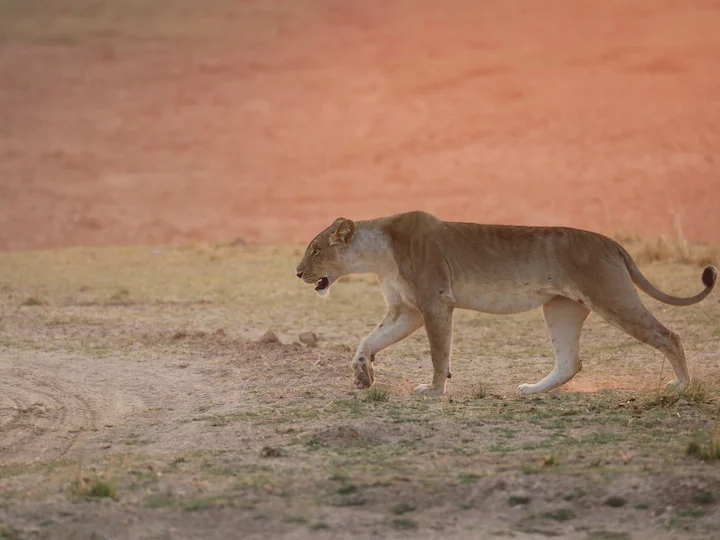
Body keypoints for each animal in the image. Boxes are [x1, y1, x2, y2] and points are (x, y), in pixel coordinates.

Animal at [295, 211, 717, 396]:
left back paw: (682, 385)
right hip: (560, 308)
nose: (298, 273)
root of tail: (611, 241)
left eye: (315, 250)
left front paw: (433, 391)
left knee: (670, 335)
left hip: (612, 297)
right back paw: (532, 390)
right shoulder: (407, 312)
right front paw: (362, 374)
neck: (378, 256)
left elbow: (438, 353)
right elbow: (369, 340)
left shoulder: (434, 303)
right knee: (570, 361)